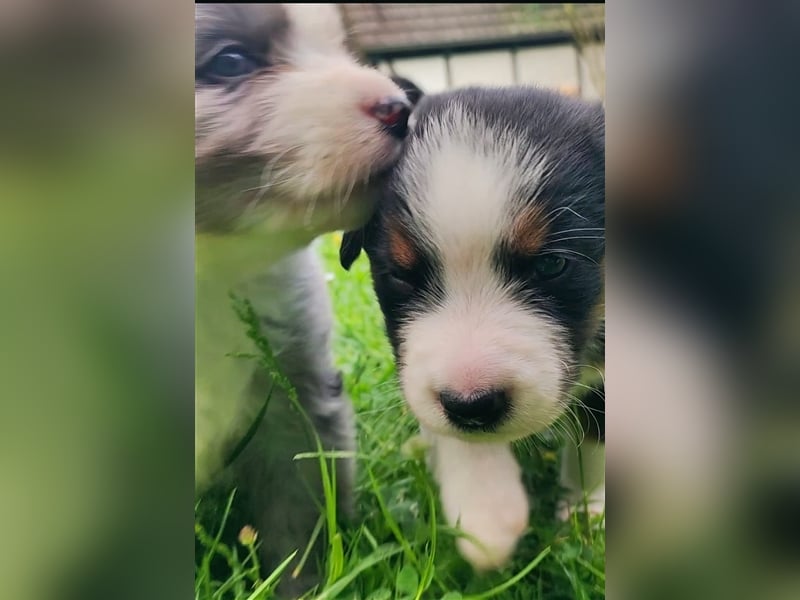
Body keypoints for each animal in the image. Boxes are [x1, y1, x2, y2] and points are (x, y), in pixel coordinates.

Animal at [340, 86, 608, 568]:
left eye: (551, 264)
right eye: (401, 274)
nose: (472, 405)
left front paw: (585, 511)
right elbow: (446, 424)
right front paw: (487, 513)